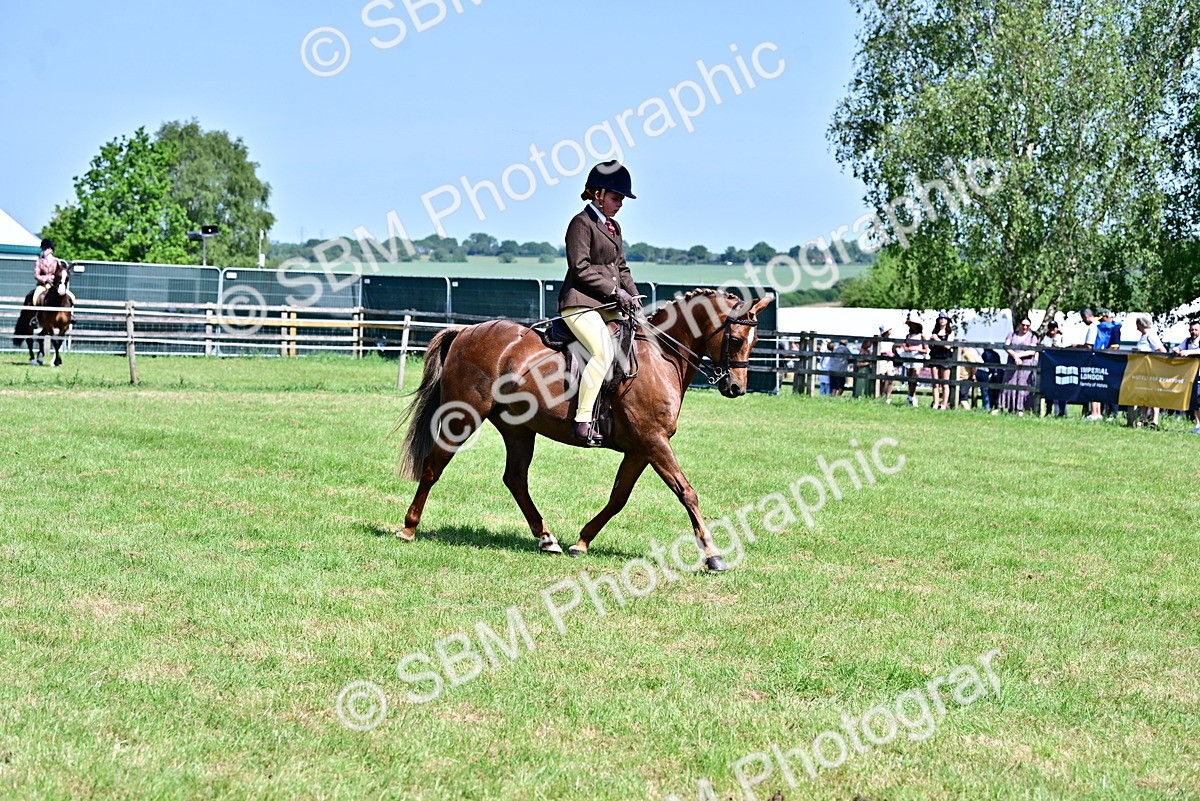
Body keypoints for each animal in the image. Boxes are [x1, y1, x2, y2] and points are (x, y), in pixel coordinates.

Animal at [396, 288, 774, 571]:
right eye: (736, 339)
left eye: (755, 341)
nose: (736, 388)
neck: (659, 357)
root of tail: (466, 331)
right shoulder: (655, 442)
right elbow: (686, 492)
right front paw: (713, 555)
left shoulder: (641, 449)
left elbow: (618, 498)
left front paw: (582, 541)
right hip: (464, 416)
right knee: (433, 467)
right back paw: (408, 528)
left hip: (519, 430)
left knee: (515, 479)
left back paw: (546, 538)